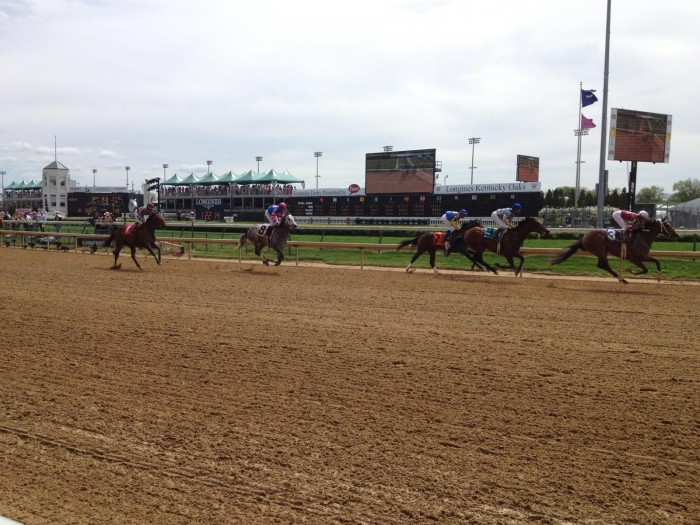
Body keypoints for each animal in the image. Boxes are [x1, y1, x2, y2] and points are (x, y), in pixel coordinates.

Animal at [552, 216, 680, 282]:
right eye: (668, 225)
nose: (677, 235)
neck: (643, 236)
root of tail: (584, 237)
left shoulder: (643, 256)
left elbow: (656, 261)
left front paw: (659, 278)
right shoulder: (634, 258)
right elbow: (645, 269)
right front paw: (631, 271)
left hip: (602, 251)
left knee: (602, 265)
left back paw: (620, 278)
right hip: (600, 250)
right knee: (603, 265)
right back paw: (622, 279)